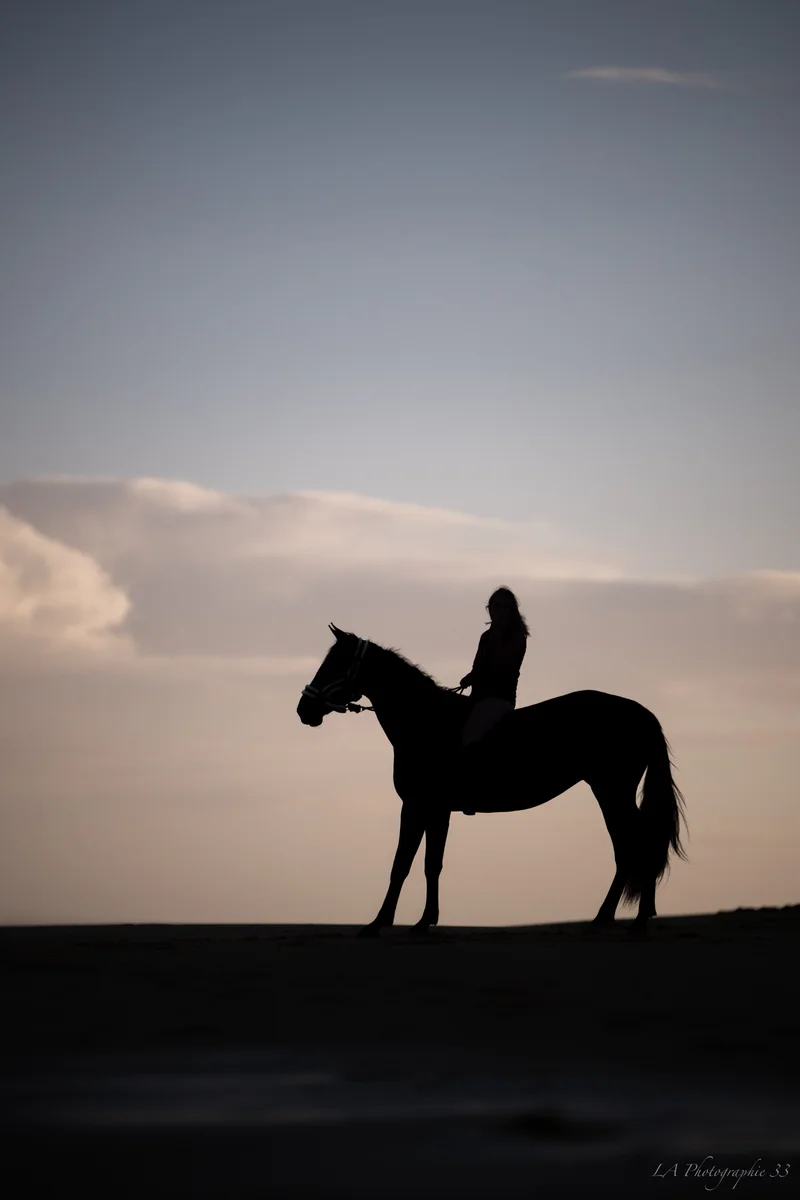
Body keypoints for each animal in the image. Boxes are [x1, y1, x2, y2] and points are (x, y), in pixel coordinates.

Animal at [297, 624, 686, 937]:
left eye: (336, 662)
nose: (304, 710)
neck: (425, 721)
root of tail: (642, 713)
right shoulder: (437, 810)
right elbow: (430, 865)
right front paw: (424, 921)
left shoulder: (419, 805)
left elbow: (402, 864)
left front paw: (378, 923)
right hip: (609, 792)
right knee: (629, 848)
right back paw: (613, 919)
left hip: (612, 791)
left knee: (636, 845)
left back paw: (632, 922)